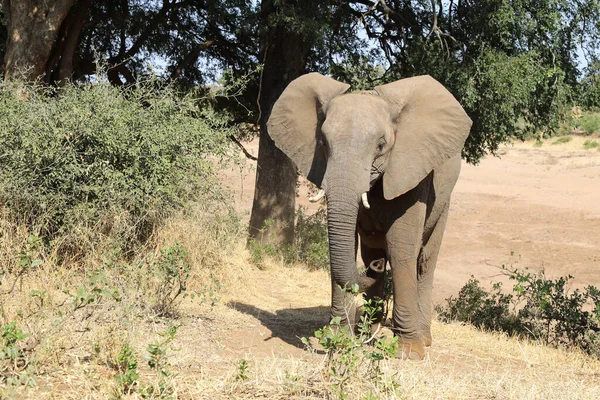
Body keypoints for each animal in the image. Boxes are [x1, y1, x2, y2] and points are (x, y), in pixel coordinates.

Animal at [264, 72, 472, 360]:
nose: (375, 268)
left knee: (424, 261)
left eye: (381, 146)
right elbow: (347, 245)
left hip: (444, 201)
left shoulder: (412, 175)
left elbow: (400, 249)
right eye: (323, 143)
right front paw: (339, 339)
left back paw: (424, 338)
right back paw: (368, 331)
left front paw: (409, 353)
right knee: (371, 251)